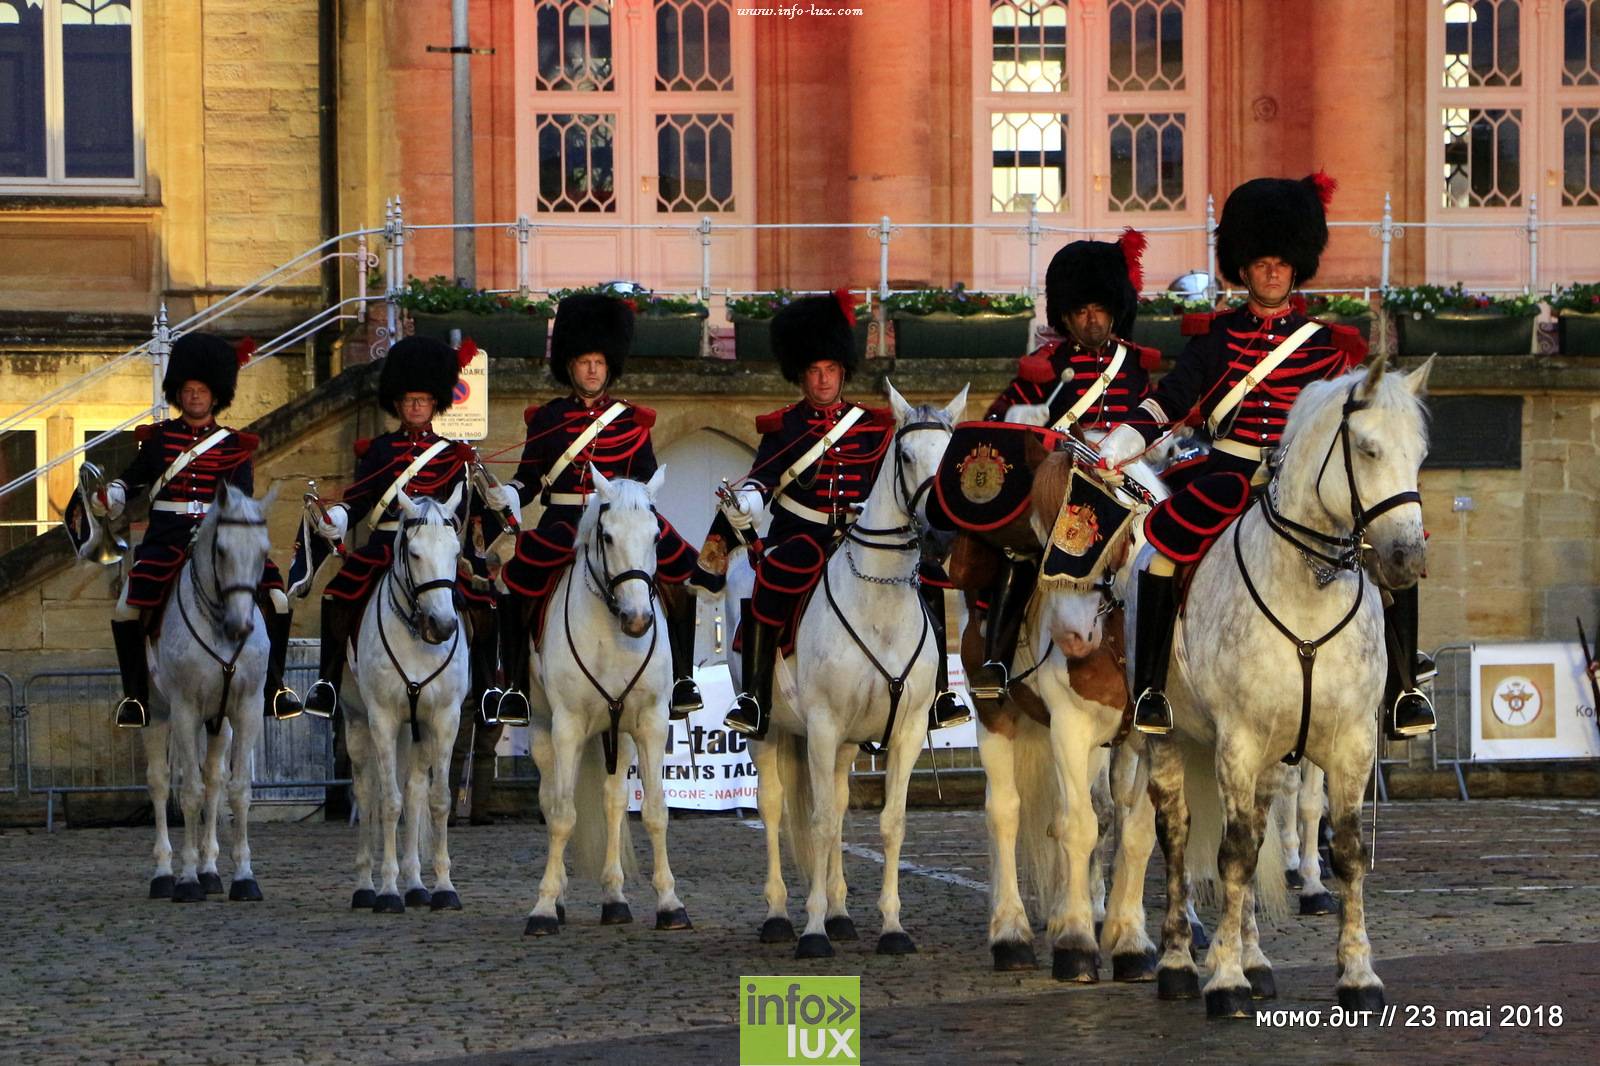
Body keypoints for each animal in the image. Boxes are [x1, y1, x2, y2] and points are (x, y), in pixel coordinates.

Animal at [142, 483, 273, 902]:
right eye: (222, 551)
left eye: (264, 551)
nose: (240, 626)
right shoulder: (184, 709)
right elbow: (189, 792)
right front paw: (185, 879)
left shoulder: (246, 708)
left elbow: (237, 790)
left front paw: (243, 876)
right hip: (157, 711)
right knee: (161, 782)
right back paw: (164, 873)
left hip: (217, 722)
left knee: (213, 779)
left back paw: (210, 870)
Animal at [344, 486, 467, 909]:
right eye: (414, 553)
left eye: (456, 551)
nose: (443, 625)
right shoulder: (382, 718)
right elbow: (388, 801)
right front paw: (386, 890)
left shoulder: (443, 720)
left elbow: (437, 798)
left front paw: (443, 887)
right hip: (357, 724)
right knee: (367, 791)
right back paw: (366, 884)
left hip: (415, 733)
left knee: (414, 792)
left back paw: (414, 884)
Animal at [518, 470, 681, 934]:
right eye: (607, 537)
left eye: (656, 535)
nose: (638, 620)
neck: (612, 633)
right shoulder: (568, 726)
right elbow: (562, 815)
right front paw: (544, 906)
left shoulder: (650, 723)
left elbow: (655, 811)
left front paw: (669, 903)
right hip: (542, 729)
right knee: (550, 798)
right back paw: (558, 899)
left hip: (617, 733)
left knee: (613, 801)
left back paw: (614, 898)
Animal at [732, 379, 966, 953]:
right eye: (905, 455)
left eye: (951, 456)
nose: (939, 536)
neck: (878, 599)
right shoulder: (821, 725)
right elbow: (816, 823)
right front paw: (813, 930)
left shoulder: (904, 731)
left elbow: (889, 822)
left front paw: (892, 926)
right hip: (771, 732)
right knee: (774, 807)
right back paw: (780, 915)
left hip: (843, 746)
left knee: (837, 805)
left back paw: (840, 912)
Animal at [1145, 356, 1433, 1011]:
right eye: (1368, 449)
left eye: (1421, 453)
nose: (1406, 560)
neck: (1308, 584)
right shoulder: (1238, 742)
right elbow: (1230, 855)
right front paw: (1224, 980)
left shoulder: (1349, 741)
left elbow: (1343, 851)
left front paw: (1358, 973)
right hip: (1167, 735)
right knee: (1176, 836)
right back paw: (1178, 960)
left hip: (1274, 754)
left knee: (1256, 836)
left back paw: (1254, 960)